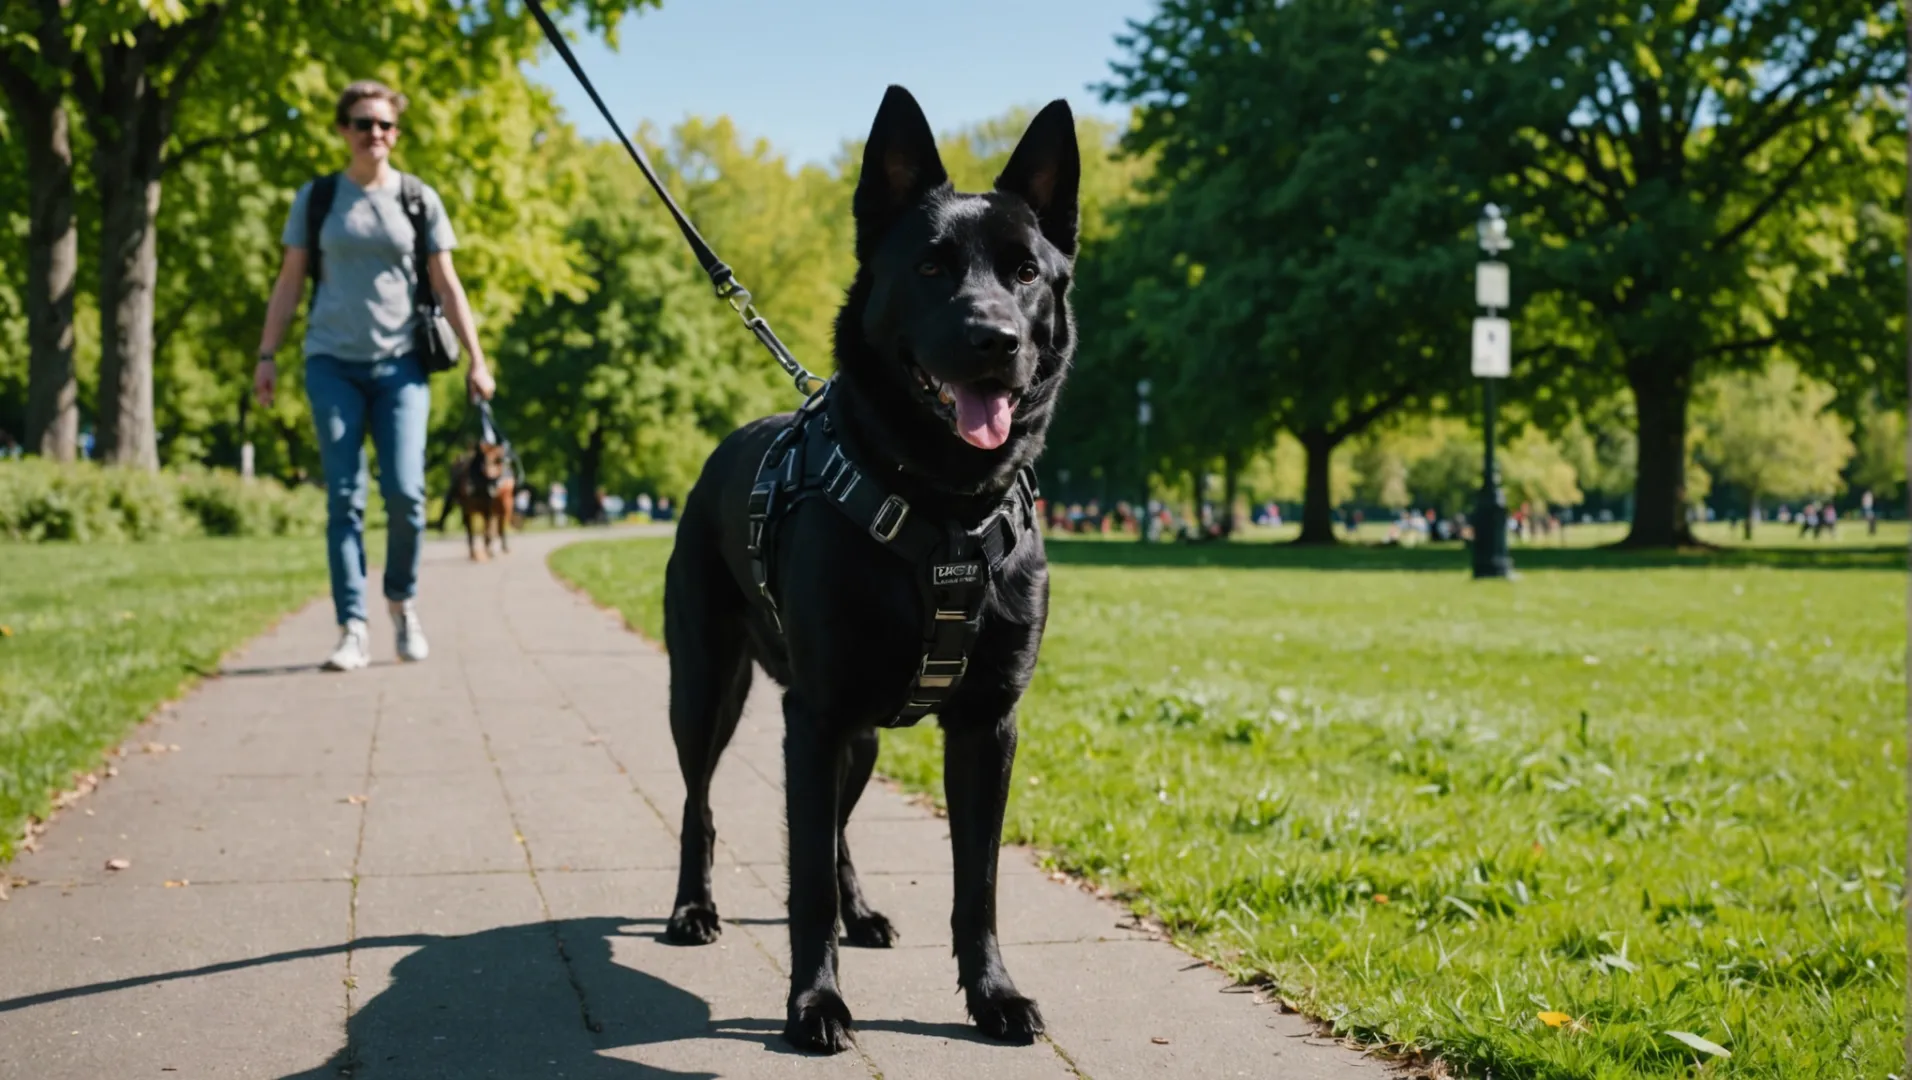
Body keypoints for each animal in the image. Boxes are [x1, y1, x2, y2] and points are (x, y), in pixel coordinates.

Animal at [661, 86, 1078, 1055]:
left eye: (1026, 272)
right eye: (929, 267)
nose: (995, 340)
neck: (944, 510)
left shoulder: (985, 728)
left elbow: (977, 884)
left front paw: (992, 995)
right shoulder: (811, 717)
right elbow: (804, 877)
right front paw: (814, 1003)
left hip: (857, 736)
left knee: (840, 829)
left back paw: (860, 912)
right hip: (708, 690)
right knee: (701, 804)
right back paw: (694, 909)